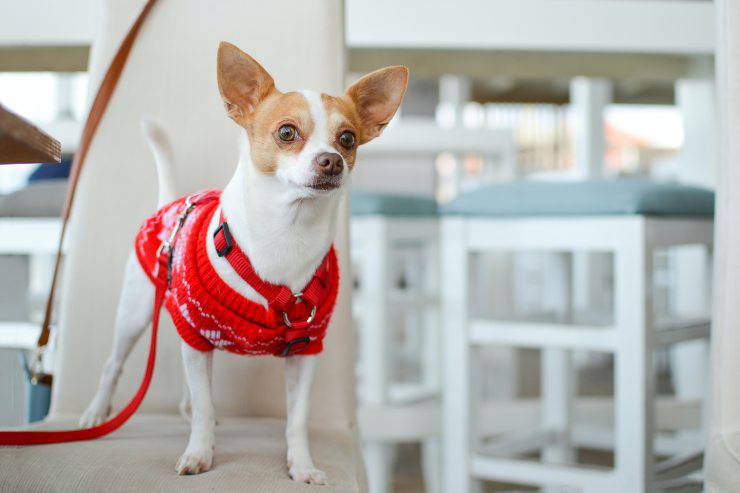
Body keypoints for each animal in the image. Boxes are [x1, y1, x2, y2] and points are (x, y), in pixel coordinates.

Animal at [79, 41, 410, 480]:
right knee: (113, 365)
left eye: (348, 139)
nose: (332, 161)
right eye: (287, 132)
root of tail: (169, 203)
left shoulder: (304, 351)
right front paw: (199, 453)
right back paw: (97, 412)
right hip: (136, 313)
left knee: (190, 384)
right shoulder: (192, 332)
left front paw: (302, 465)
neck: (288, 232)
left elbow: (297, 417)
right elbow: (206, 405)